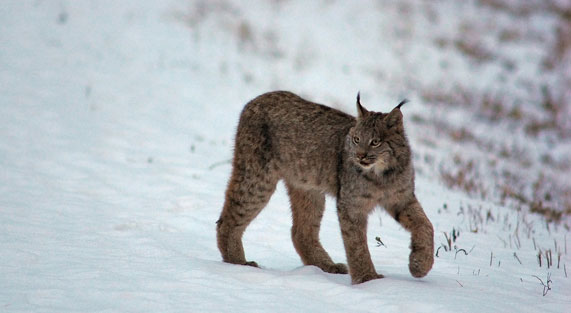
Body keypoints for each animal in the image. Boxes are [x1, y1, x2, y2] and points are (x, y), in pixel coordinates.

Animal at [217, 91, 436, 282]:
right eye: (356, 139)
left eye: (375, 142)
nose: (359, 156)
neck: (383, 174)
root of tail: (256, 99)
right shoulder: (352, 204)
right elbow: (356, 244)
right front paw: (368, 279)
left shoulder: (401, 197)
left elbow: (426, 225)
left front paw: (420, 265)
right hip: (258, 177)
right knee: (226, 219)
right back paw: (237, 262)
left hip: (308, 187)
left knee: (300, 232)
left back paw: (326, 266)